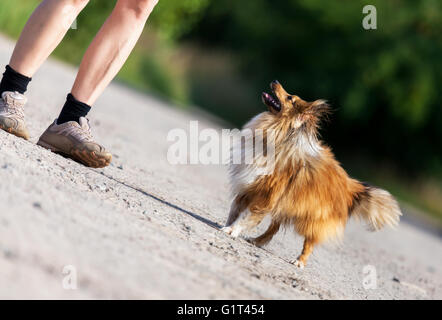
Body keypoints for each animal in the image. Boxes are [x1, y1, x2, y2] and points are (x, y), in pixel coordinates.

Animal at [221, 80, 400, 268]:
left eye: (290, 98)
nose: (275, 81)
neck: (278, 133)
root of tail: (351, 185)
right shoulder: (248, 188)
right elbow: (235, 210)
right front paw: (227, 226)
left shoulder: (264, 197)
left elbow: (245, 216)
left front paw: (232, 230)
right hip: (287, 205)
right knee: (274, 228)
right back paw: (257, 241)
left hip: (311, 219)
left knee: (310, 242)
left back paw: (299, 262)